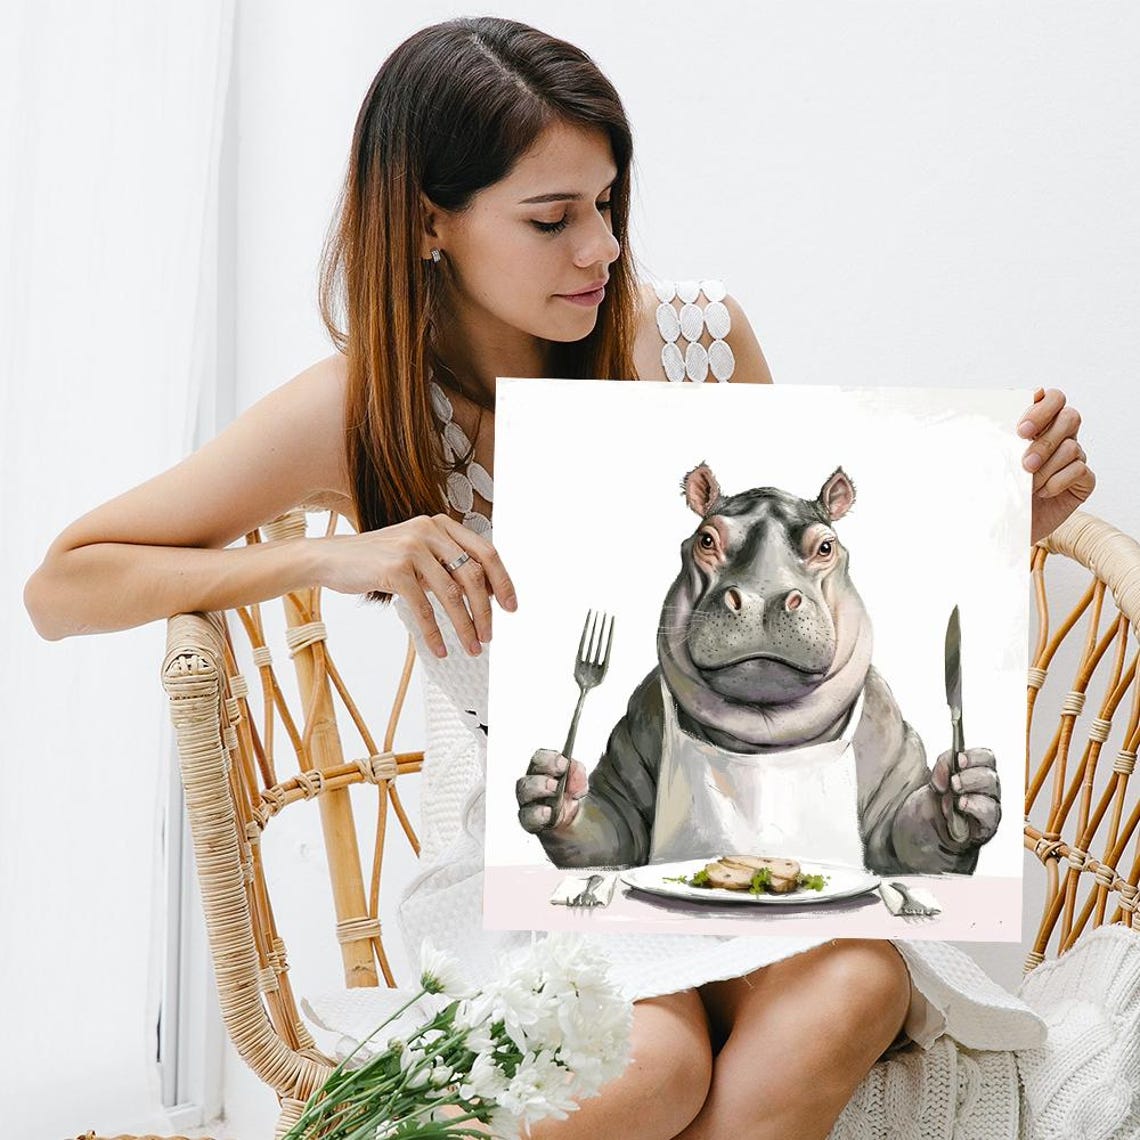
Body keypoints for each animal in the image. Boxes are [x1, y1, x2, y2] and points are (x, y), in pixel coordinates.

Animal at [516, 464, 1001, 874]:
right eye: (706, 539)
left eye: (826, 546)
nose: (764, 598)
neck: (763, 737)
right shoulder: (635, 732)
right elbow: (613, 832)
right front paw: (550, 788)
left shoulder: (892, 755)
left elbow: (905, 840)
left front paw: (967, 793)